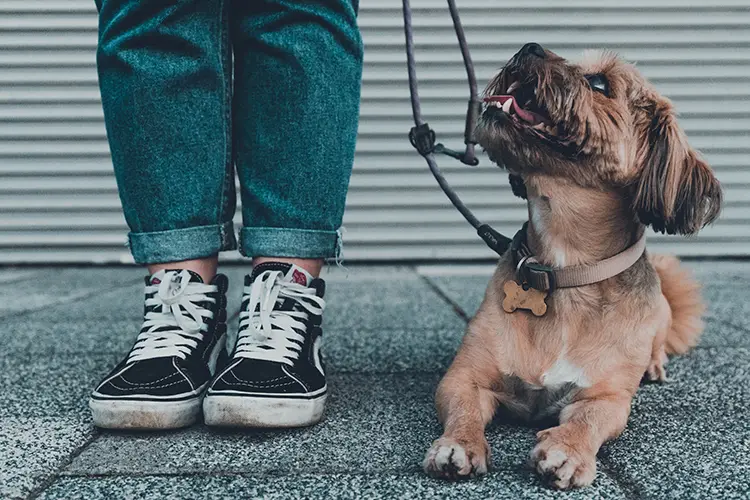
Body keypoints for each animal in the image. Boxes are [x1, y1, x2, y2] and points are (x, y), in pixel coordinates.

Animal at [424, 43, 724, 488]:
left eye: (598, 83)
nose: (528, 47)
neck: (564, 272)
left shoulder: (606, 397)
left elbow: (589, 420)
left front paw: (567, 450)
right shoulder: (464, 378)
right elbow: (463, 409)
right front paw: (458, 444)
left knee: (656, 344)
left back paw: (653, 364)